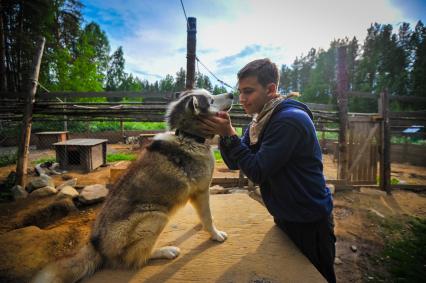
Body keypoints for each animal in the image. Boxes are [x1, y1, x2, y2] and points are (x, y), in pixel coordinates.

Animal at [32, 90, 233, 283]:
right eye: (211, 100)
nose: (232, 94)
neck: (189, 137)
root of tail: (97, 247)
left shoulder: (198, 194)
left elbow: (204, 214)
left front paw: (202, 226)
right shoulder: (202, 190)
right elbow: (208, 217)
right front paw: (215, 235)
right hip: (157, 216)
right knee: (136, 259)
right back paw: (165, 251)